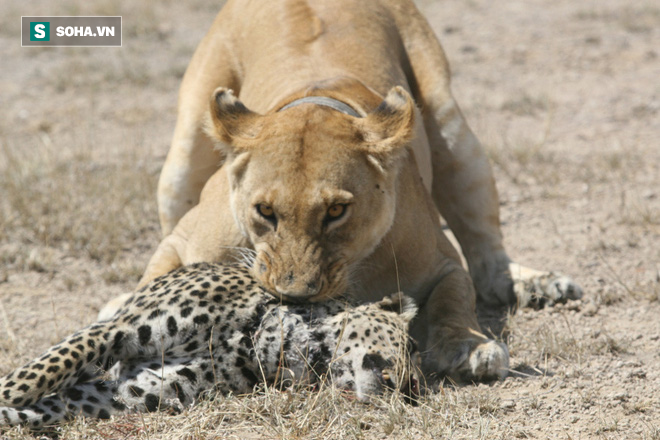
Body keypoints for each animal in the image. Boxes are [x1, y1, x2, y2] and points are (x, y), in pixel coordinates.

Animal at [0, 262, 420, 428]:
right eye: (409, 349)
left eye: (412, 390)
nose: (407, 389)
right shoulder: (116, 330)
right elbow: (32, 377)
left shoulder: (117, 396)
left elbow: (32, 410)